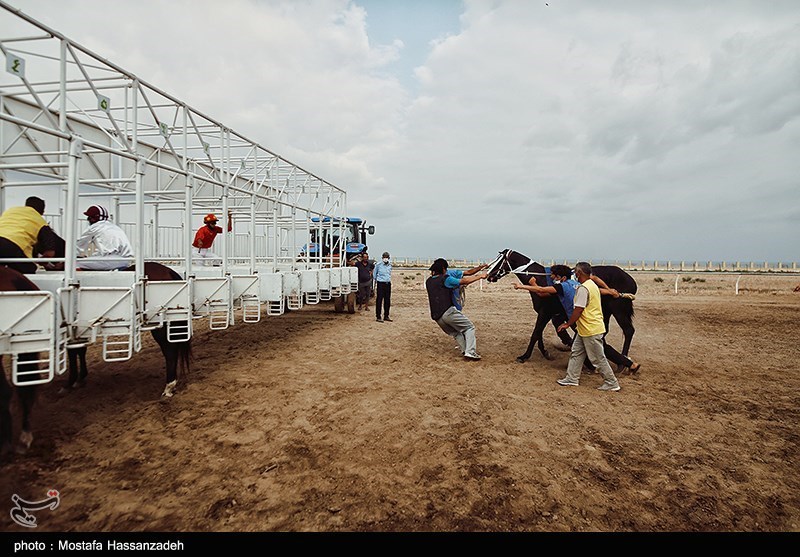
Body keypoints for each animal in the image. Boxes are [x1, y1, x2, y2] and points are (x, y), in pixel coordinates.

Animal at [484, 250, 636, 362]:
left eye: (499, 260)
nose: (488, 275)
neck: (541, 279)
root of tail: (630, 279)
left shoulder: (546, 312)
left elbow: (536, 333)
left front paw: (525, 356)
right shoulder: (547, 313)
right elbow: (539, 332)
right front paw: (545, 352)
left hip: (619, 310)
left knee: (628, 331)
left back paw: (624, 359)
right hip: (607, 311)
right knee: (604, 331)